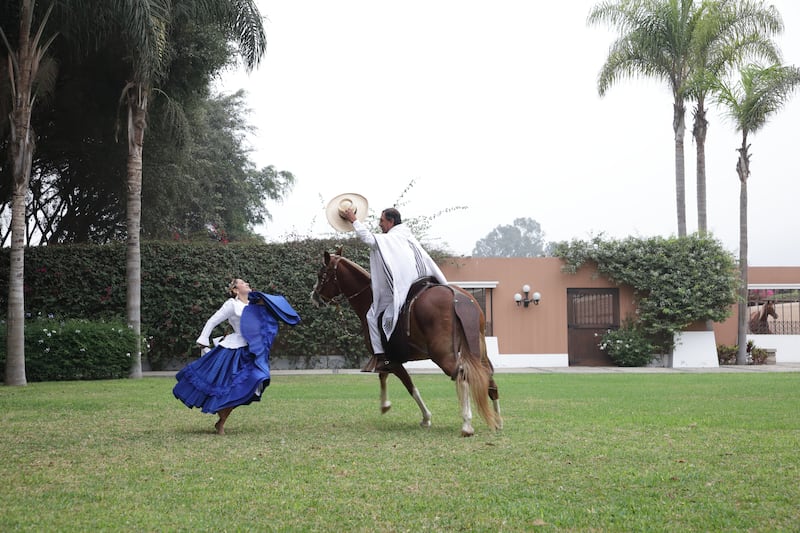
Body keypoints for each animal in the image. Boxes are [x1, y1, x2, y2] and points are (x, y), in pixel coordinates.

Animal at [310, 247, 504, 434]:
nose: (315, 296)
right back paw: (498, 421)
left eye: (321, 275)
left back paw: (467, 424)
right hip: (478, 351)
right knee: (488, 377)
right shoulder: (390, 360)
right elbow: (384, 376)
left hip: (442, 355)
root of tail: (458, 297)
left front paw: (425, 417)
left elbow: (409, 386)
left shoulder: (392, 360)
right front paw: (386, 405)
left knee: (463, 376)